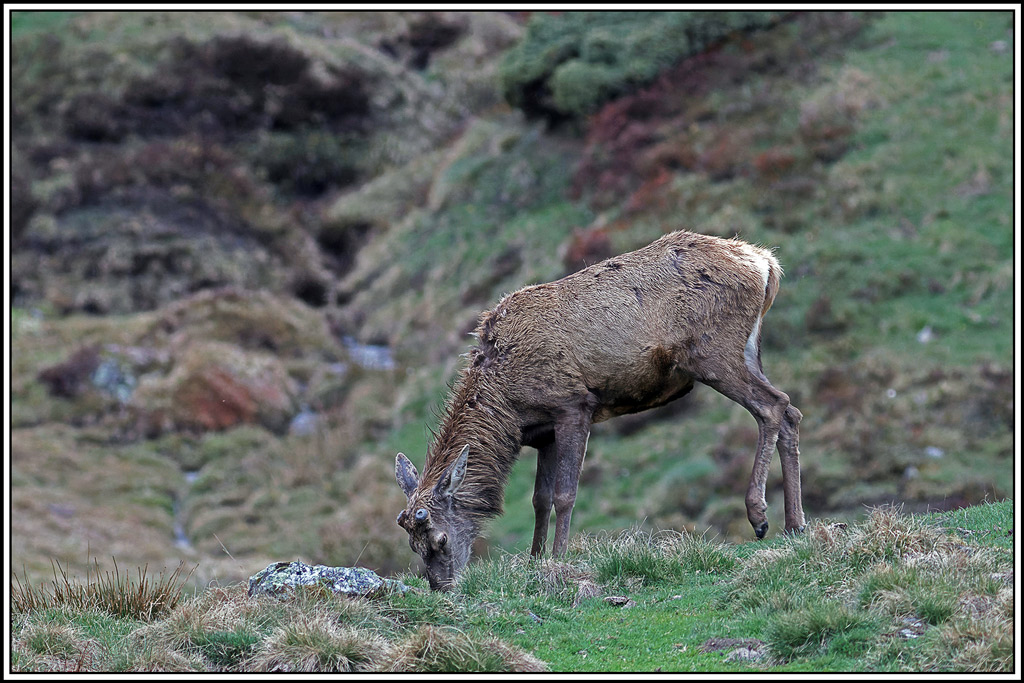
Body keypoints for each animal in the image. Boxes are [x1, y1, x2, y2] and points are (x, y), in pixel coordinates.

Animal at [395, 230, 804, 591]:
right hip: (748, 350)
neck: (509, 409)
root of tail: (766, 264)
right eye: (413, 545)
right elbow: (539, 499)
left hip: (713, 351)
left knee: (773, 406)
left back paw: (759, 516)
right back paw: (794, 524)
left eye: (439, 538)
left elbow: (564, 495)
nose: (441, 587)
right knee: (791, 412)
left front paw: (558, 559)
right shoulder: (543, 434)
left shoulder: (573, 406)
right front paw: (533, 561)